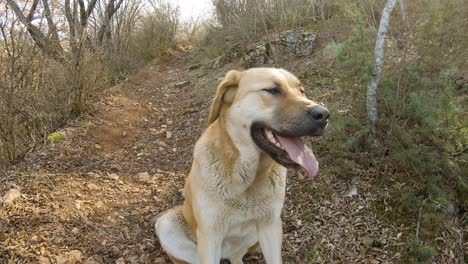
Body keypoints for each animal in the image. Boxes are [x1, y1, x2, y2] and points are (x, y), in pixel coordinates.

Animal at [154, 67, 330, 262]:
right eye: (272, 90)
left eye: (301, 90)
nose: (324, 115)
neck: (247, 179)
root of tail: (227, 253)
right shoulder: (210, 237)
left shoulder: (270, 226)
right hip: (167, 225)